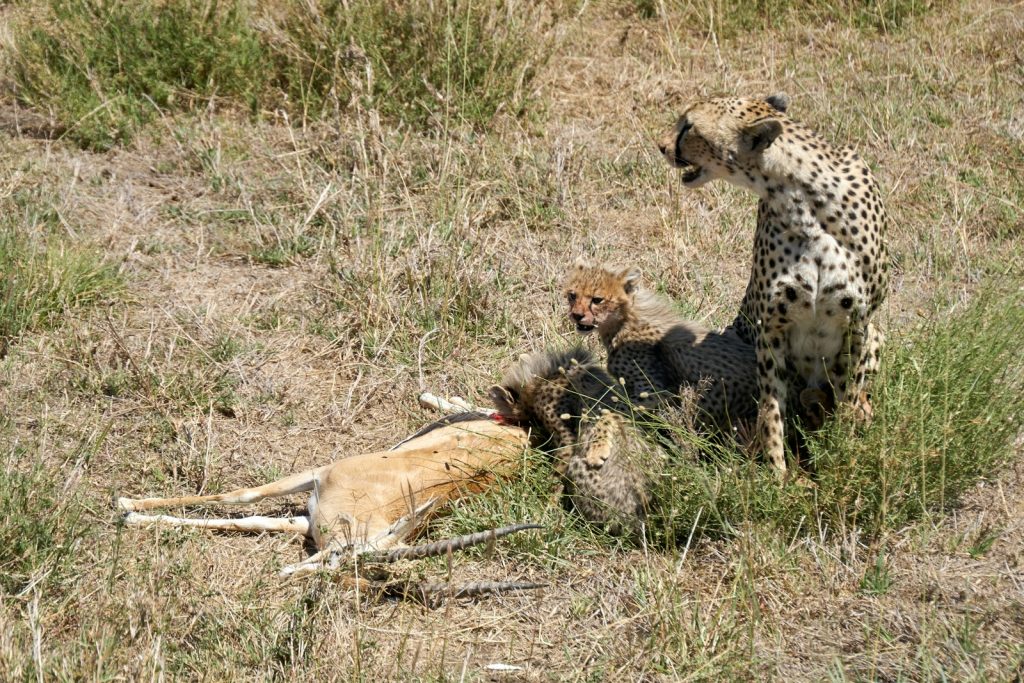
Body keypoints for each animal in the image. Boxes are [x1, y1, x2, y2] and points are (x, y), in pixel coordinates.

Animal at [655, 93, 888, 479]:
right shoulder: (771, 327)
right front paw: (777, 474)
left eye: (688, 127)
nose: (660, 146)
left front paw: (846, 456)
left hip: (875, 334)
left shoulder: (857, 323)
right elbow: (771, 408)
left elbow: (849, 396)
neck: (803, 201)